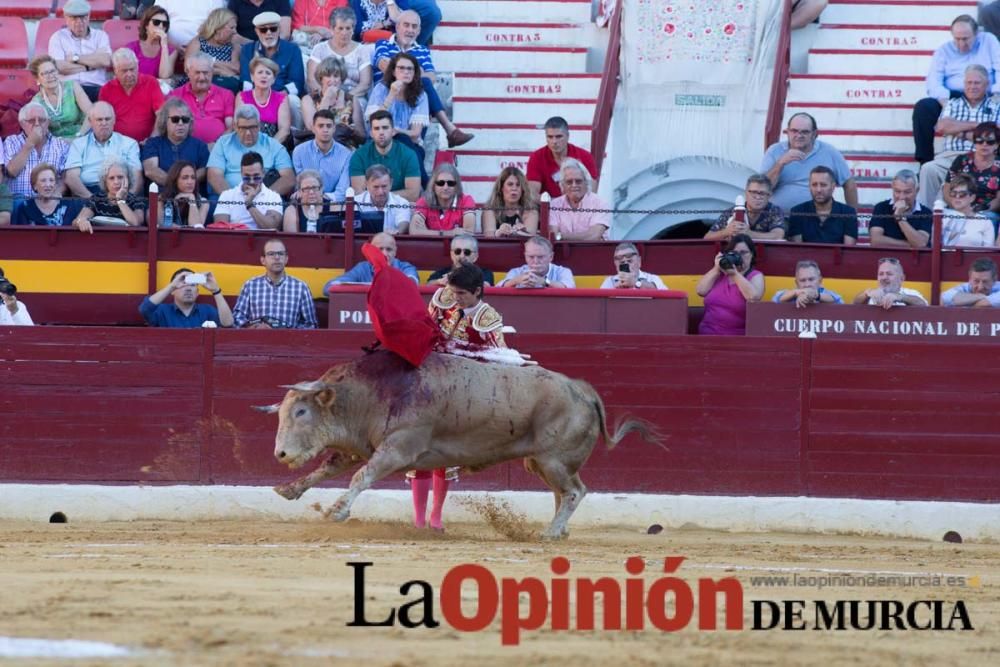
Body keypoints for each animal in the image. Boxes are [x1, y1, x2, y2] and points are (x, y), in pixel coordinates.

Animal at [258, 350, 664, 536]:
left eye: (301, 412)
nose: (280, 453)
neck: (370, 393)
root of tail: (580, 388)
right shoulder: (361, 447)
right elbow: (327, 468)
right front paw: (288, 489)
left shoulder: (396, 449)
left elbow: (360, 477)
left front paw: (337, 511)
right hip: (542, 463)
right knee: (563, 493)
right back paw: (559, 530)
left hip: (554, 460)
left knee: (576, 491)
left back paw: (549, 533)